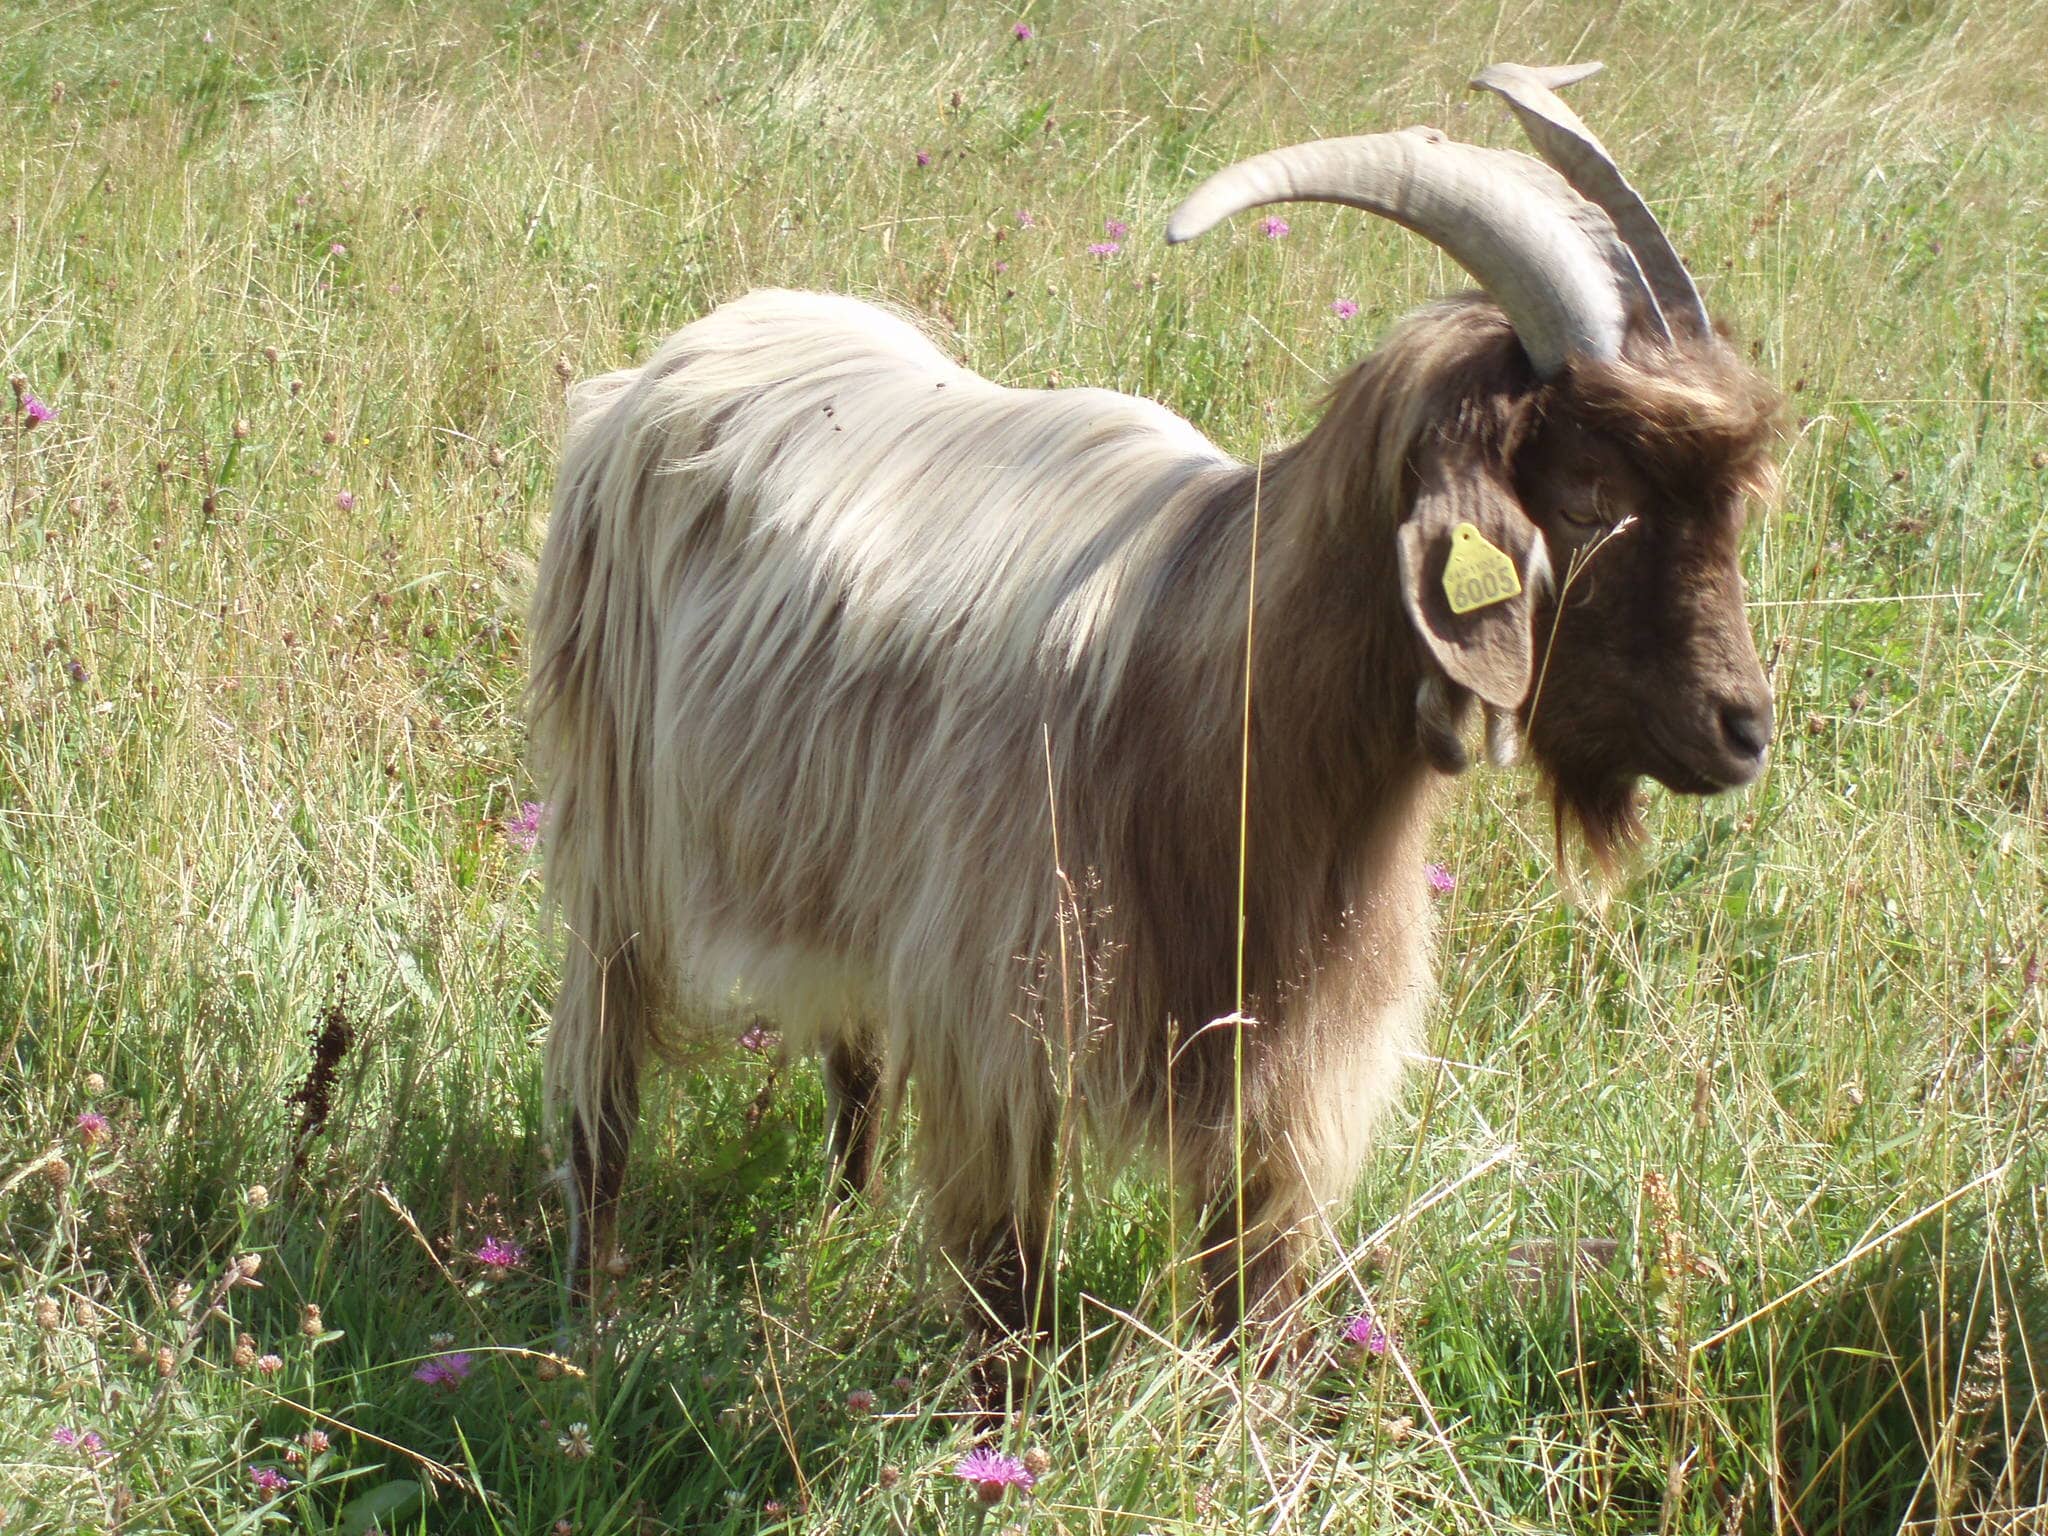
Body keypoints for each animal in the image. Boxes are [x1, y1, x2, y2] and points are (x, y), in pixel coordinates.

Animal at [528, 60, 1777, 1359]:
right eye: (1585, 497)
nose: (1742, 730)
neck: (1224, 702)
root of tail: (692, 347)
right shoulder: (1006, 1023)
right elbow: (1009, 1296)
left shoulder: (1278, 1069)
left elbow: (1248, 1298)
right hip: (615, 820)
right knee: (600, 1071)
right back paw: (582, 1311)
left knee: (852, 1064)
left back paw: (836, 1224)